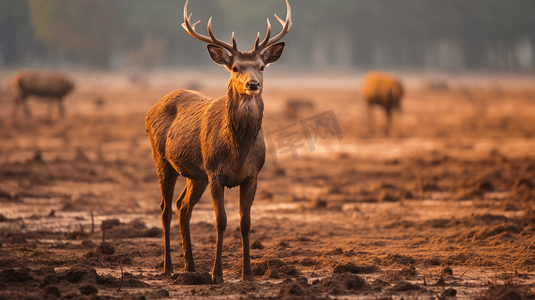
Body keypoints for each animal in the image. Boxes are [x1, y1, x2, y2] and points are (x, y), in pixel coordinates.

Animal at [146, 0, 294, 282]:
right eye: (235, 68)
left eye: (261, 66)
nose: (253, 84)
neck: (238, 150)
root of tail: (151, 109)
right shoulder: (215, 172)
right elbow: (221, 220)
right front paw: (217, 274)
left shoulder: (252, 175)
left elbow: (245, 222)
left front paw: (248, 274)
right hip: (163, 161)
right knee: (165, 208)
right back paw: (168, 268)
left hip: (196, 175)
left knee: (182, 206)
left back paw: (190, 266)